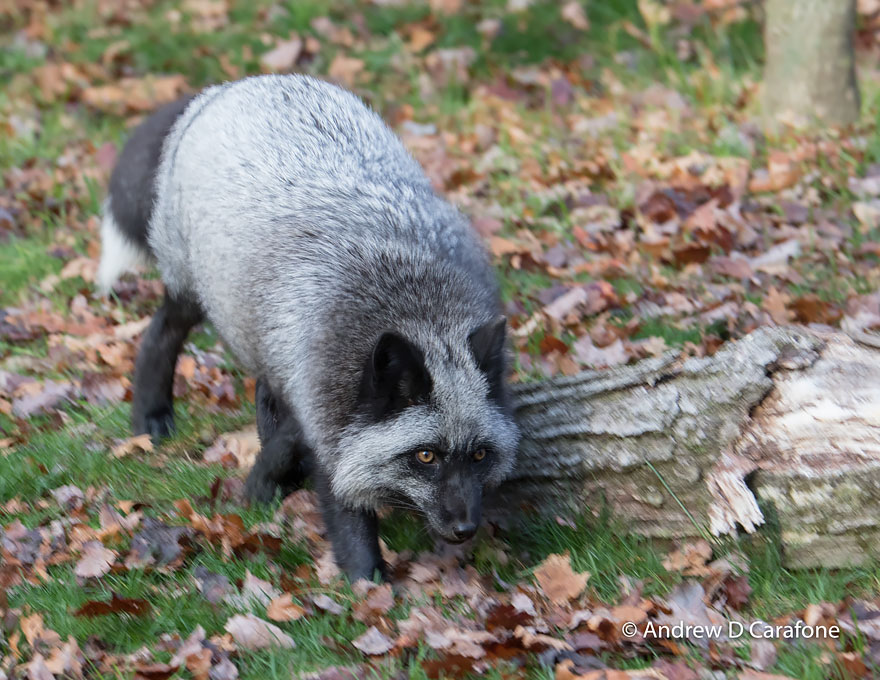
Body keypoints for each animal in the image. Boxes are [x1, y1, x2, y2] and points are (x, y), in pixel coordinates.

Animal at [98, 74, 520, 581]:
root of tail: (235, 85)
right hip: (191, 289)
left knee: (263, 390)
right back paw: (150, 415)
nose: (464, 529)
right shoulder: (322, 400)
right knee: (160, 335)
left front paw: (267, 479)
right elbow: (340, 501)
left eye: (479, 455)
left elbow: (292, 439)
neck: (416, 304)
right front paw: (367, 581)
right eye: (425, 456)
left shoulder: (319, 393)